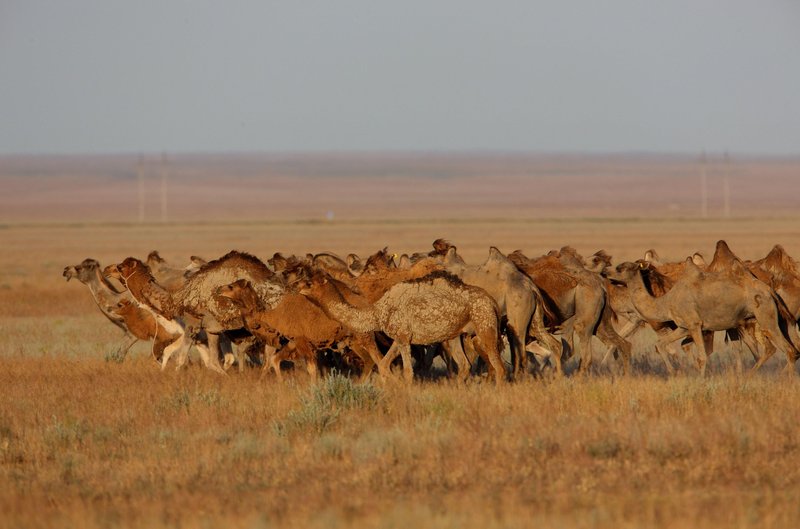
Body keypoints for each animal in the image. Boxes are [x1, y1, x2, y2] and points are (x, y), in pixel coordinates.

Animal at [300, 270, 506, 382]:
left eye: (309, 282)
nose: (297, 285)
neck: (378, 312)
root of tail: (492, 301)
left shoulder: (405, 338)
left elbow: (408, 372)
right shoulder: (398, 338)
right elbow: (383, 364)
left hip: (485, 323)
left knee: (498, 365)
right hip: (455, 334)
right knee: (464, 365)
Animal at [608, 256, 796, 376]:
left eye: (621, 268)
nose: (606, 273)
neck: (666, 302)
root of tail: (769, 290)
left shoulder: (695, 325)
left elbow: (702, 355)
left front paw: (701, 380)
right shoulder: (683, 327)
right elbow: (660, 344)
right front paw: (674, 372)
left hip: (765, 316)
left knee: (786, 350)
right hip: (774, 319)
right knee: (790, 349)